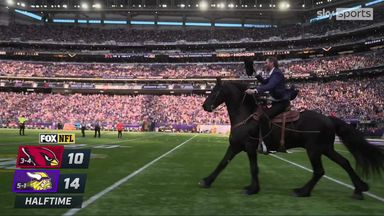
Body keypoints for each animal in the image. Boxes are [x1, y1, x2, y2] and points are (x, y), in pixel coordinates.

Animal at [200, 79, 384, 199]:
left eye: (215, 91)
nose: (204, 106)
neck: (246, 116)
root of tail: (328, 118)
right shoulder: (235, 146)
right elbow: (222, 163)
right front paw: (207, 181)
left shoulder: (250, 148)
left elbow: (253, 168)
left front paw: (253, 189)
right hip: (326, 148)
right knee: (344, 162)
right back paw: (359, 189)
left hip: (314, 150)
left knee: (320, 171)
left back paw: (302, 191)